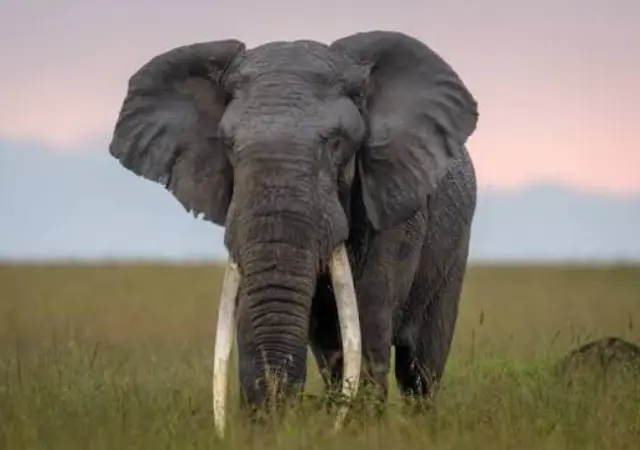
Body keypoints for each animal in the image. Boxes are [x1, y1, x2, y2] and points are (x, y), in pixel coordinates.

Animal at [108, 30, 479, 435]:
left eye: (337, 143)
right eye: (228, 145)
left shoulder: (393, 209)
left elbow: (368, 320)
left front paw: (354, 430)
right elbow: (251, 315)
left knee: (420, 365)